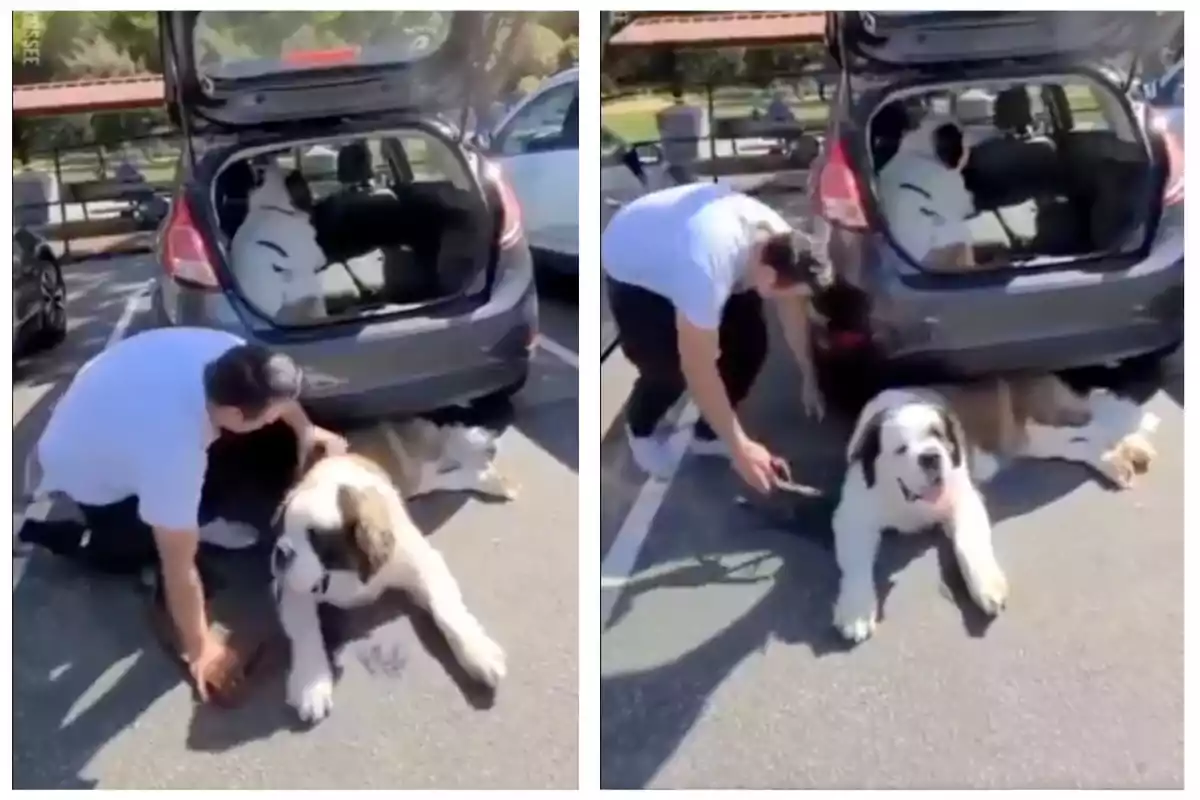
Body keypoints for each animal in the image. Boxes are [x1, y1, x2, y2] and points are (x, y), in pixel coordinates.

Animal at [272, 422, 516, 724]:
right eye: (283, 528)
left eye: (317, 540)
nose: (281, 552)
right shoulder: (291, 588)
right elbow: (307, 633)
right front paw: (312, 685)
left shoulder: (422, 562)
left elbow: (447, 611)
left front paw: (479, 653)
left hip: (417, 473)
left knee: (454, 470)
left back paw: (491, 478)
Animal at [830, 374, 1156, 642]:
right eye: (901, 448)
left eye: (939, 436)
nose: (931, 457)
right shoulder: (853, 516)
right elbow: (856, 564)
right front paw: (856, 611)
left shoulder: (963, 500)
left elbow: (967, 544)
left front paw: (986, 588)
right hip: (1036, 440)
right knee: (1082, 444)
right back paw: (1116, 462)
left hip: (1048, 419)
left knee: (1098, 425)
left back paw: (1135, 447)